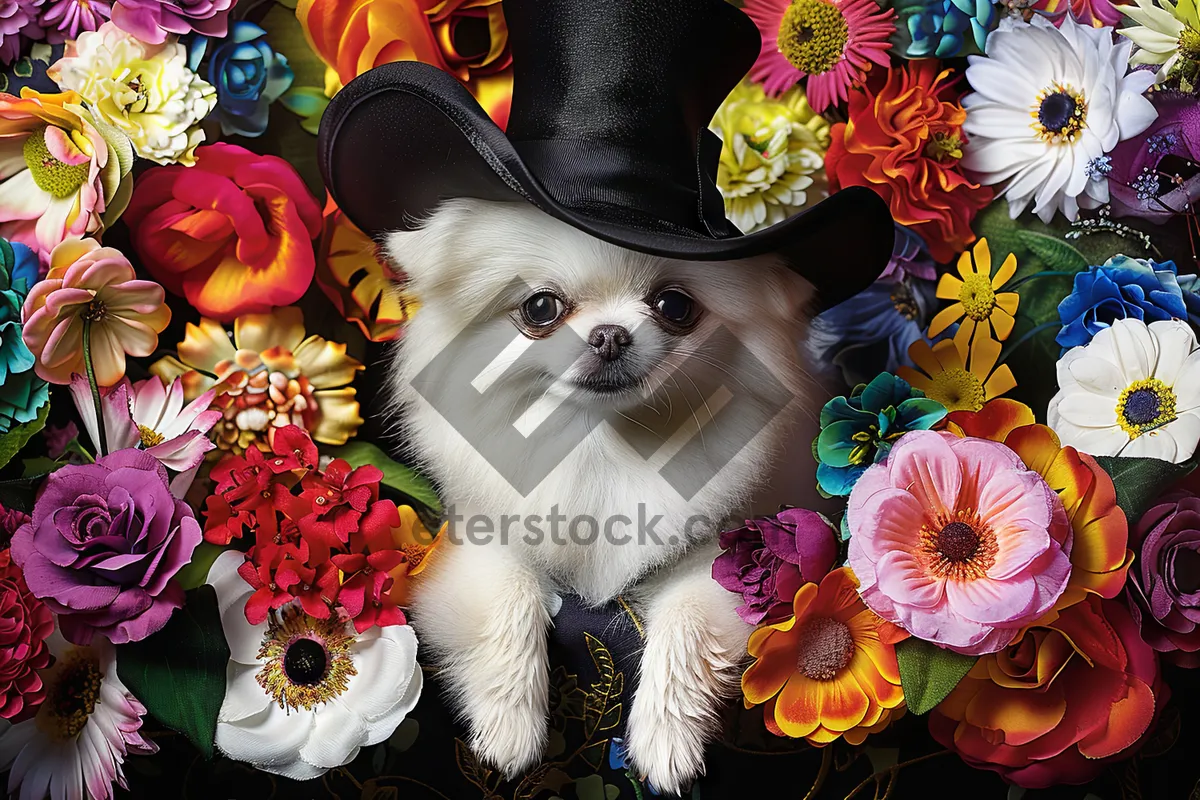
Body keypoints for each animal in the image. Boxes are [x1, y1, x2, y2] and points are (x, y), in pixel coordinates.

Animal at [388, 199, 820, 796]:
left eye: (674, 306)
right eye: (541, 307)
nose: (611, 334)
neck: (601, 445)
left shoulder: (729, 561)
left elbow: (687, 621)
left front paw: (665, 739)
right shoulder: (476, 543)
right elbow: (510, 598)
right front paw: (508, 727)